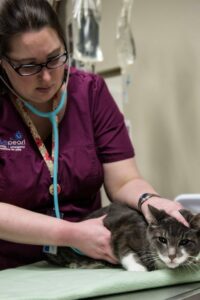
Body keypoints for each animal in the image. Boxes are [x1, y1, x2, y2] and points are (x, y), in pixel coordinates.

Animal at [46, 204, 200, 272]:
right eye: (162, 240)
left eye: (184, 242)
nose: (172, 256)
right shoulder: (125, 231)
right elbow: (126, 250)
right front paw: (139, 269)